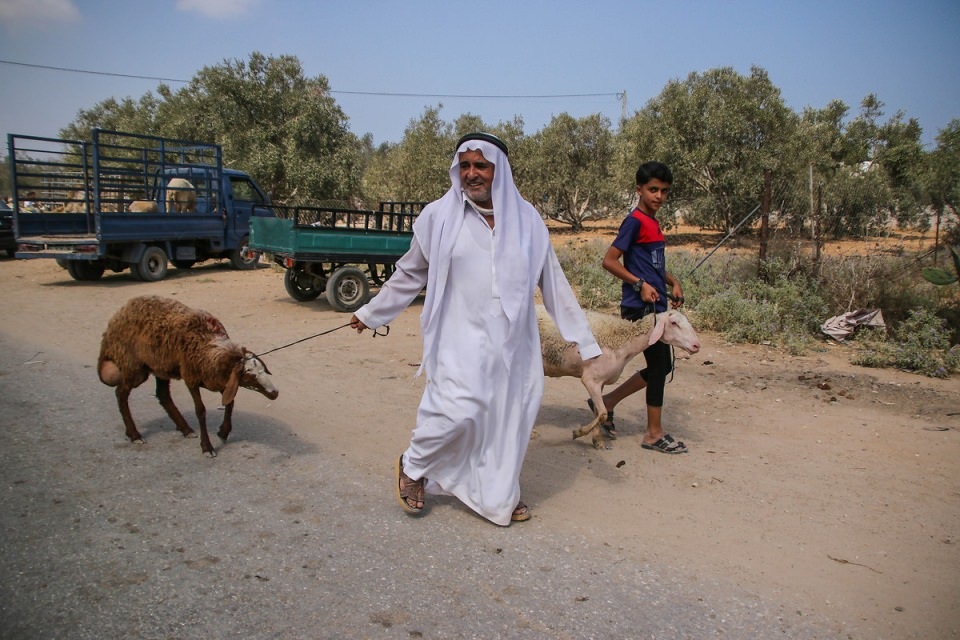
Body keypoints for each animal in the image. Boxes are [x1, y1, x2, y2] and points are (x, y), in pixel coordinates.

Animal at [97, 296, 278, 456]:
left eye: (262, 369)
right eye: (249, 375)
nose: (274, 393)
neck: (207, 348)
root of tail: (117, 317)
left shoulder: (220, 380)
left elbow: (230, 403)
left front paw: (223, 432)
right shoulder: (191, 378)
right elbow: (201, 411)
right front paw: (207, 447)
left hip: (160, 367)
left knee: (163, 395)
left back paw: (185, 429)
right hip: (133, 366)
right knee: (121, 393)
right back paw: (134, 434)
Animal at [540, 306, 696, 448]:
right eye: (674, 323)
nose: (697, 345)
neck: (624, 341)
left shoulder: (600, 381)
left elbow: (598, 411)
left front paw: (597, 441)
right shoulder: (590, 379)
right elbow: (603, 413)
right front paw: (579, 432)